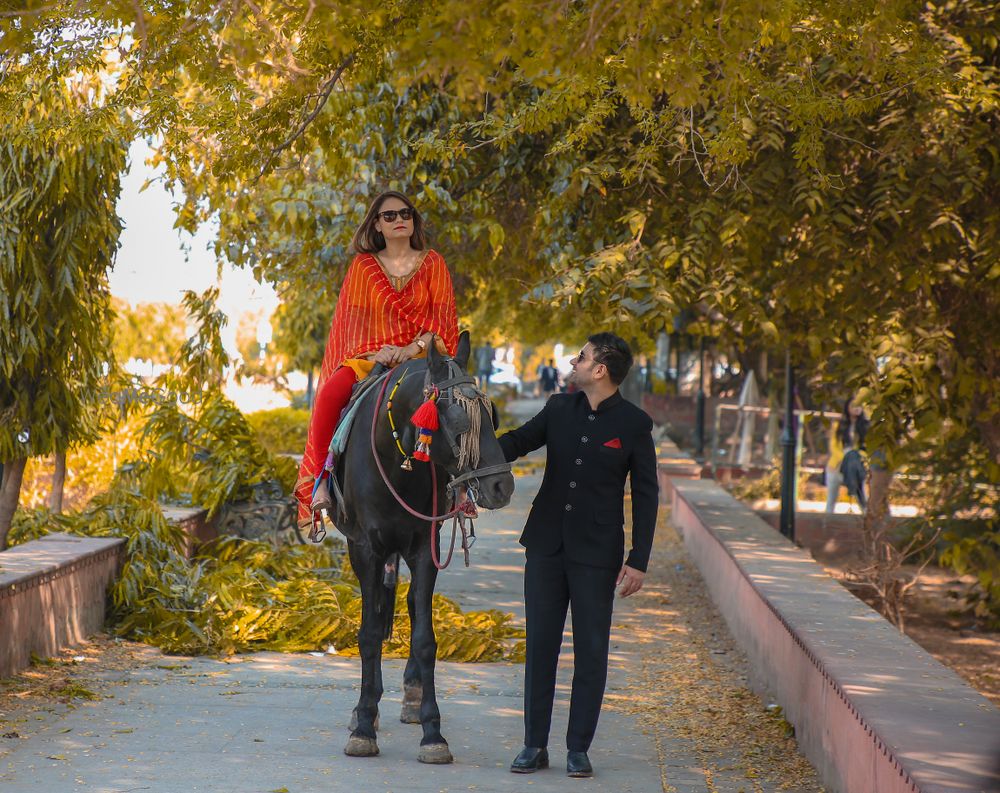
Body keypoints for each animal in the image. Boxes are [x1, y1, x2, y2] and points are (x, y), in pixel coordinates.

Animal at [334, 330, 516, 760]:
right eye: (460, 421)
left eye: (492, 416)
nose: (502, 486)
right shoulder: (364, 549)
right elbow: (369, 635)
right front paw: (363, 724)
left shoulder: (422, 548)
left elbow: (424, 638)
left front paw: (433, 731)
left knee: (410, 607)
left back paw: (411, 699)